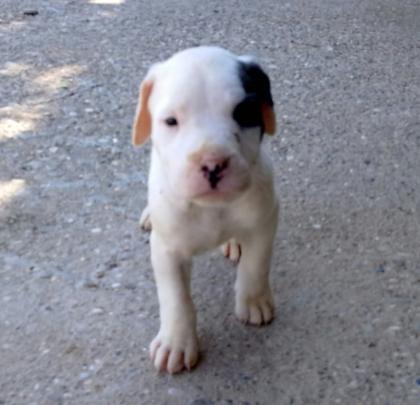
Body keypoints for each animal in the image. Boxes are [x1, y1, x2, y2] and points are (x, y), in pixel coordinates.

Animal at [132, 46, 278, 372]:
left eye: (244, 113)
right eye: (171, 121)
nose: (212, 164)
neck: (211, 208)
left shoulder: (264, 222)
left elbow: (255, 265)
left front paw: (253, 301)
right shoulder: (167, 250)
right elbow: (175, 298)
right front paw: (175, 342)